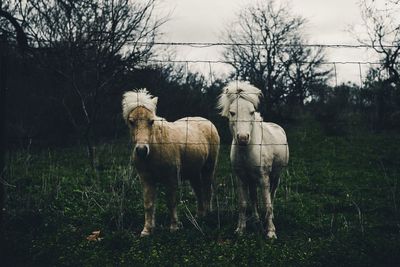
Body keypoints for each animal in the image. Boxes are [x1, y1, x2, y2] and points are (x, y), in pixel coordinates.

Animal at [217, 80, 290, 240]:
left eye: (251, 112)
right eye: (232, 112)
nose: (243, 138)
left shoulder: (264, 178)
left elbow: (267, 203)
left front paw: (271, 232)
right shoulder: (240, 178)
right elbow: (243, 203)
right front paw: (240, 229)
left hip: (275, 176)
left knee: (272, 194)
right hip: (251, 180)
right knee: (254, 197)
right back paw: (256, 219)